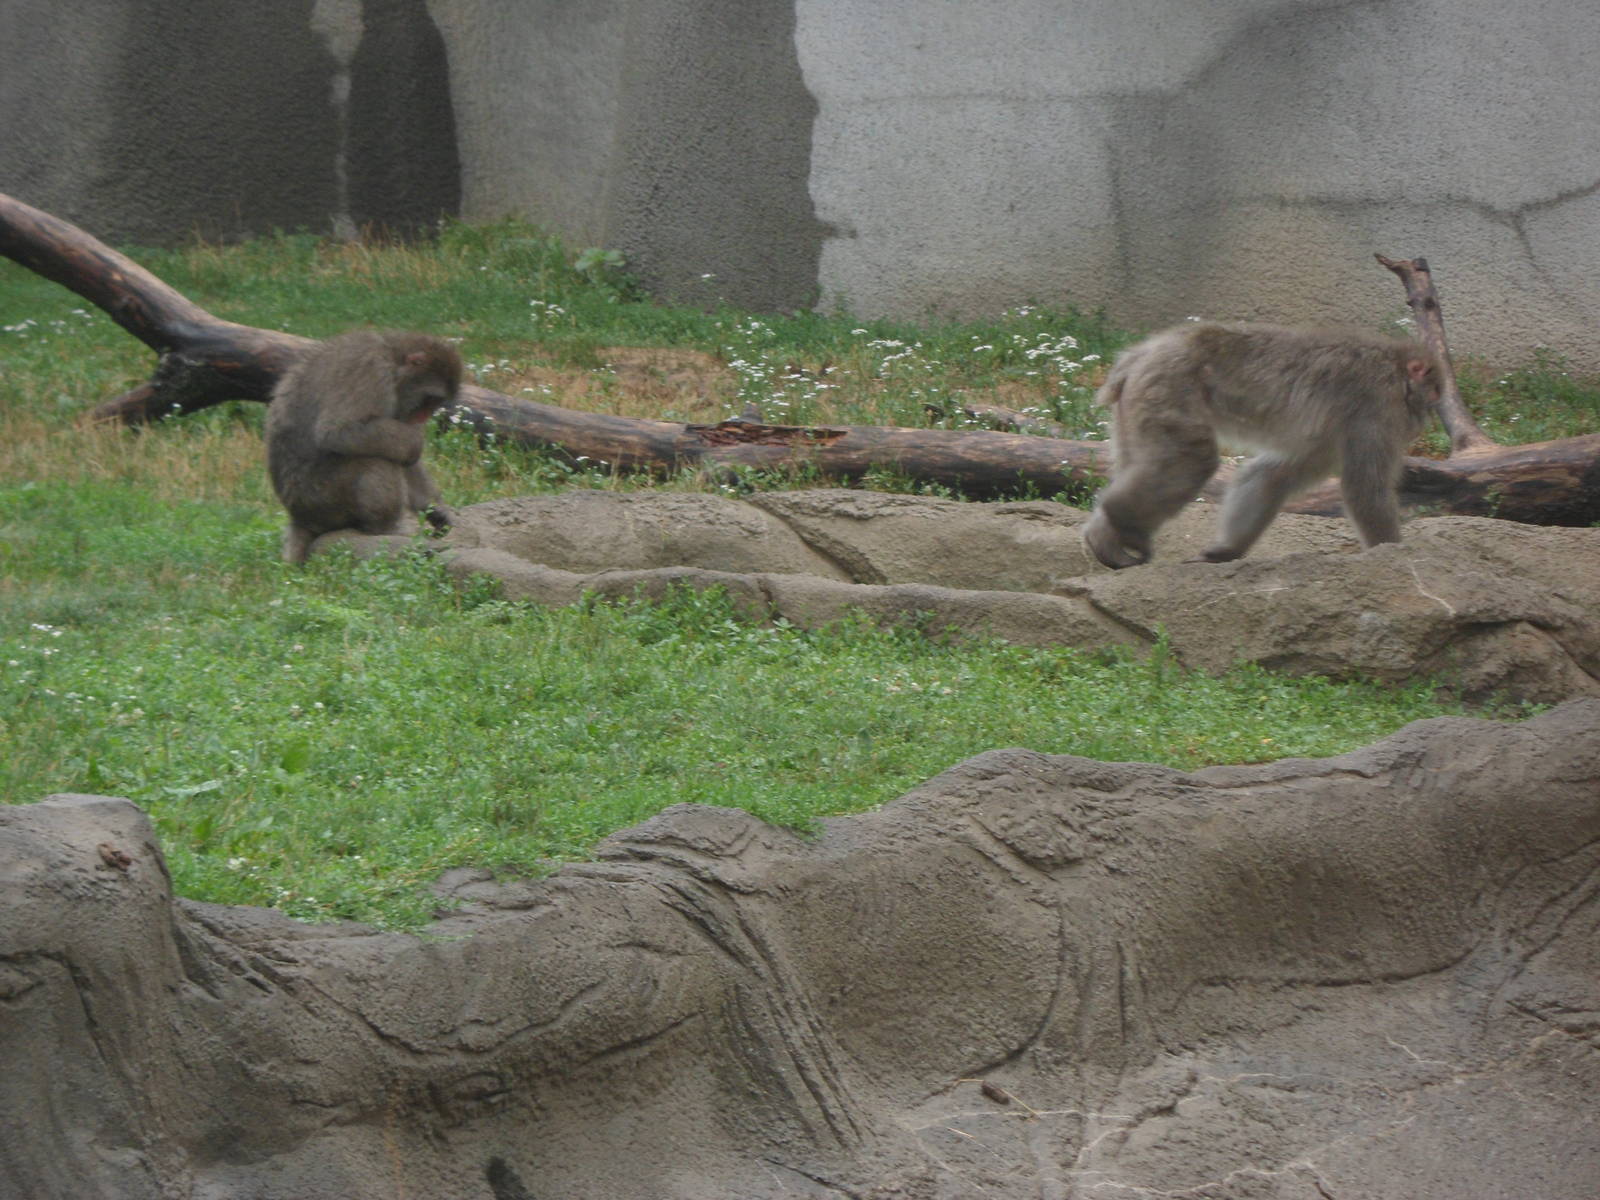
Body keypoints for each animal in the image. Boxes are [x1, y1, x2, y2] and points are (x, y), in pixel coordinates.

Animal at [265, 330, 463, 563]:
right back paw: (385, 529)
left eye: (436, 403)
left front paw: (436, 508)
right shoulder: (372, 371)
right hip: (324, 501)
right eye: (430, 399)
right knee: (375, 461)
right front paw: (416, 441)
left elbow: (403, 454)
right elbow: (338, 431)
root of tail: (299, 517)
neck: (392, 359)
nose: (424, 416)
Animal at [1080, 322, 1441, 569]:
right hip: (1167, 387)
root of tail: (1142, 353)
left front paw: (1226, 551)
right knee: (1191, 460)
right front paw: (1391, 552)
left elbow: (1273, 476)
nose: (1423, 424)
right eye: (1434, 396)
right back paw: (1122, 520)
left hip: (1136, 404)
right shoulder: (1376, 404)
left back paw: (1104, 534)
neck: (1395, 367)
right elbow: (1365, 487)